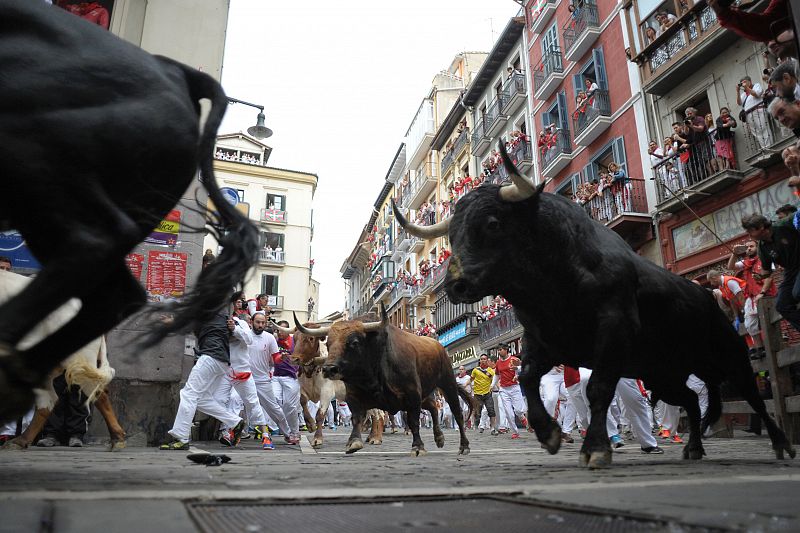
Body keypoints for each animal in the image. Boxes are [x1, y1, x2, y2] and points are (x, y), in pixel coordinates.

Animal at [294, 306, 472, 456]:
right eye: (329, 343)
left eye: (354, 342)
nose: (329, 369)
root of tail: (438, 345)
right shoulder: (354, 396)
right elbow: (356, 418)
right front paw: (353, 441)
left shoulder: (412, 394)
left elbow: (413, 421)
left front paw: (418, 446)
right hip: (425, 395)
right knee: (433, 407)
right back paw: (439, 437)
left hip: (447, 384)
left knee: (457, 413)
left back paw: (463, 446)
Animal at [396, 140, 796, 466]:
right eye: (452, 234)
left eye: (493, 223)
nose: (455, 284)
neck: (553, 280)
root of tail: (706, 297)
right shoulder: (544, 341)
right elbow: (527, 379)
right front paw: (549, 434)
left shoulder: (612, 333)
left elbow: (597, 389)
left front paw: (596, 447)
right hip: (663, 372)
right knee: (692, 401)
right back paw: (693, 447)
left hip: (729, 357)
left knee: (751, 395)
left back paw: (780, 443)